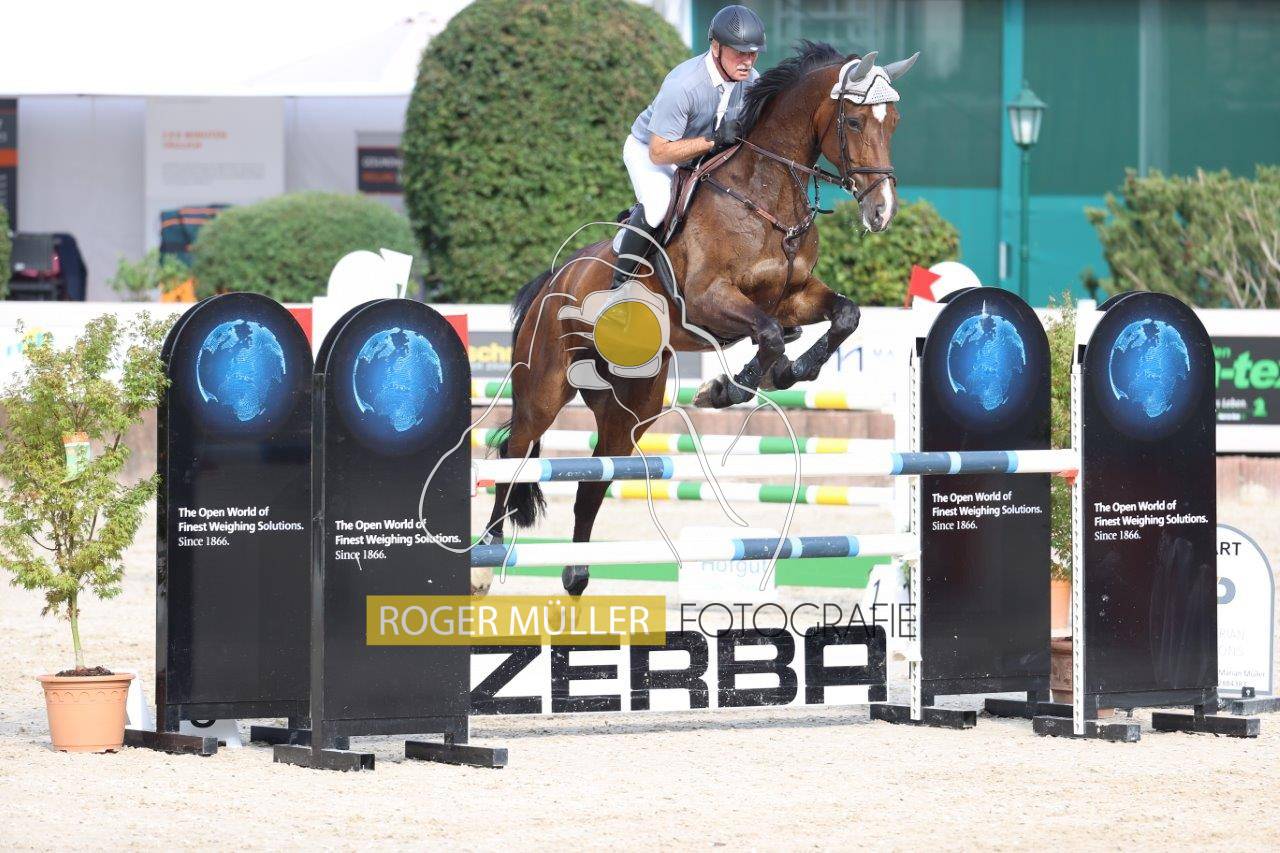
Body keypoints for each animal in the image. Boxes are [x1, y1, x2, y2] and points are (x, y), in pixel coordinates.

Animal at [480, 41, 916, 596]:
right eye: (856, 122)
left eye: (894, 122)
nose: (882, 211)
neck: (766, 194)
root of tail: (551, 282)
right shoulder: (709, 302)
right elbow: (769, 334)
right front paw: (729, 388)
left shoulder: (793, 296)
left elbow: (844, 317)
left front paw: (789, 372)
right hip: (543, 389)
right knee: (514, 453)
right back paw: (488, 560)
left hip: (630, 408)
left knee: (595, 479)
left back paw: (576, 574)